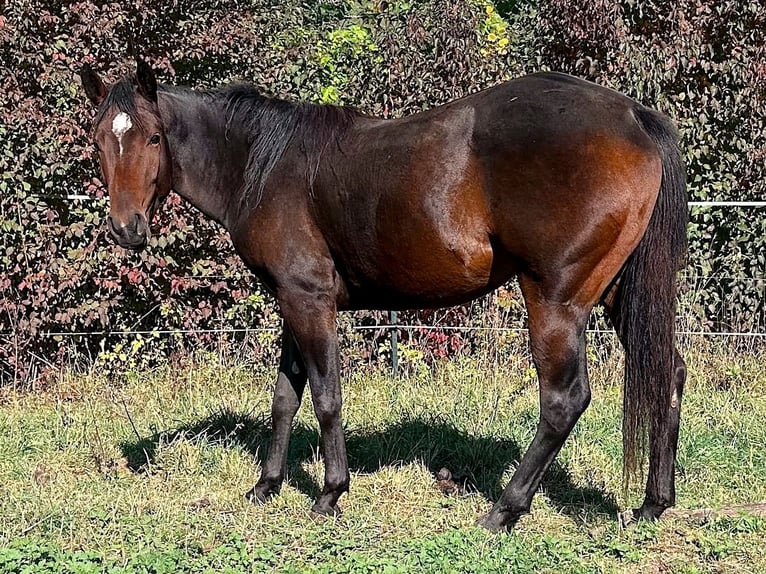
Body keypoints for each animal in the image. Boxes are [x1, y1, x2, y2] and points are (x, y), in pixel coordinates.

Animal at [79, 59, 687, 531]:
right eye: (101, 141)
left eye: (153, 138)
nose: (127, 229)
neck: (263, 164)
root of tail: (634, 117)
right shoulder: (291, 301)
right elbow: (285, 396)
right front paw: (266, 485)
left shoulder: (310, 301)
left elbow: (325, 397)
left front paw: (330, 493)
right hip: (617, 295)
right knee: (669, 374)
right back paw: (654, 504)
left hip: (556, 301)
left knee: (564, 400)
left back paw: (503, 511)